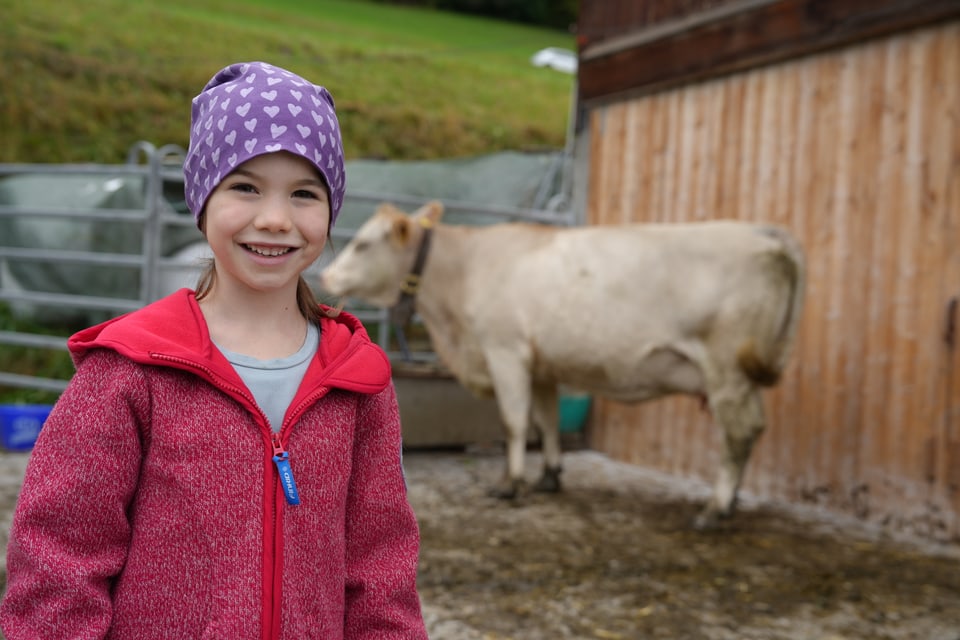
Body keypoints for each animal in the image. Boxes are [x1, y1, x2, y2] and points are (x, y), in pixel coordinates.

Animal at [318, 201, 808, 528]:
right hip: (741, 375)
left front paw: (510, 483)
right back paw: (732, 500)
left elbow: (515, 421)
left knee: (738, 433)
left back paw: (716, 508)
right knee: (751, 428)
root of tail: (765, 232)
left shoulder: (505, 351)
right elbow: (546, 420)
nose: (325, 276)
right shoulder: (542, 365)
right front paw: (549, 476)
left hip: (727, 367)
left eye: (362, 244)